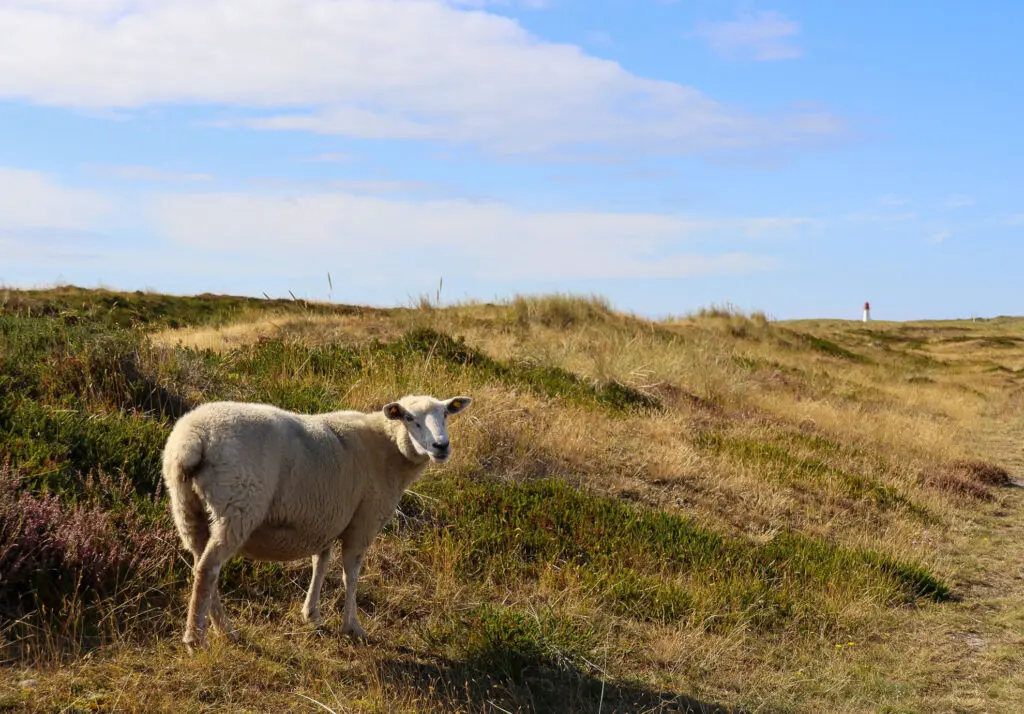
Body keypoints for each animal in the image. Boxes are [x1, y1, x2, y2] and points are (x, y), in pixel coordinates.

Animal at [161, 393, 472, 650]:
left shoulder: (327, 518)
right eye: (409, 418)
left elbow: (320, 562)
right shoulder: (364, 520)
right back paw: (197, 640)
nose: (441, 446)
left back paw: (223, 630)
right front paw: (352, 627)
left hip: (186, 507)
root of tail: (194, 438)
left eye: (446, 414)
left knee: (200, 564)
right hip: (238, 505)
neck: (387, 448)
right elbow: (351, 574)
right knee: (208, 569)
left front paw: (311, 613)